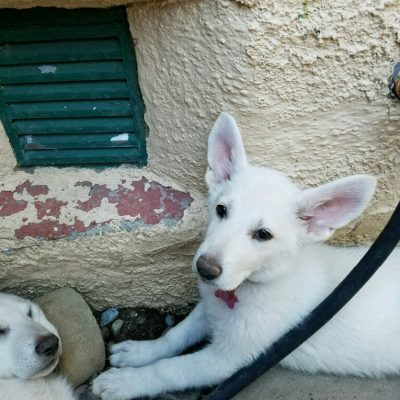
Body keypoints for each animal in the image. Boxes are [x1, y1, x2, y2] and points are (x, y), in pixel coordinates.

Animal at [91, 112, 400, 400]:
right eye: (221, 210)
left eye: (263, 235)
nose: (205, 269)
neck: (256, 284)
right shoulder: (209, 307)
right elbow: (175, 335)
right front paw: (139, 352)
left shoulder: (231, 360)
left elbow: (171, 369)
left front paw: (127, 381)